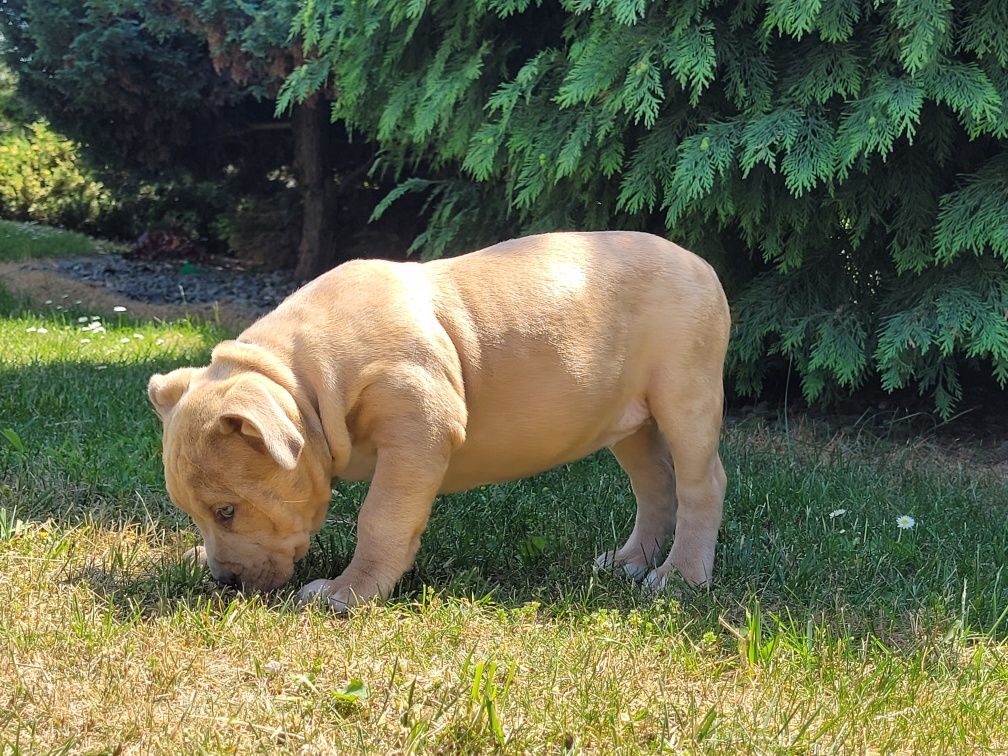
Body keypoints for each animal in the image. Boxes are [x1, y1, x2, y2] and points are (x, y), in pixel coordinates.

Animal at [149, 229, 729, 608]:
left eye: (227, 511)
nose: (224, 581)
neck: (306, 384)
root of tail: (700, 263)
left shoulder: (416, 430)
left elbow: (380, 518)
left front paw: (347, 592)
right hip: (629, 420)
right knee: (654, 484)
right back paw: (633, 560)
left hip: (685, 395)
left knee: (701, 484)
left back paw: (680, 577)